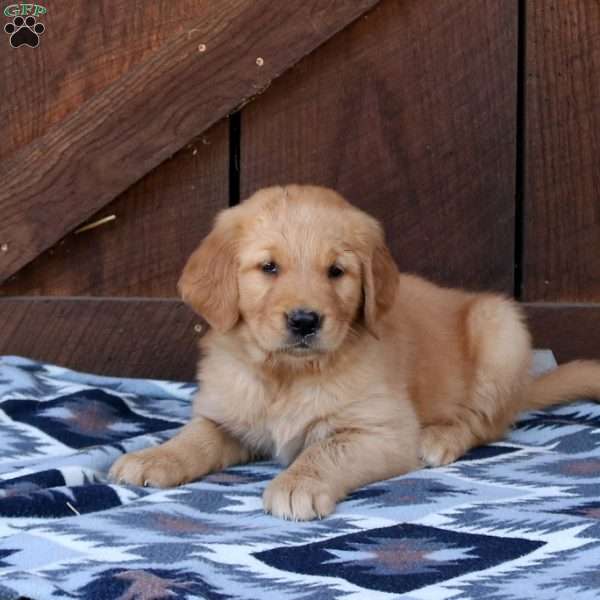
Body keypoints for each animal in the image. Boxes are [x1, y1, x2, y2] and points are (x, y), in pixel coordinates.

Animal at [110, 184, 600, 520]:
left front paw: (297, 483)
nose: (304, 320)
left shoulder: (381, 431)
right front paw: (154, 458)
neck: (288, 375)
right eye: (269, 267)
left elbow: (325, 450)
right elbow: (195, 437)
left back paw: (439, 438)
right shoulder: (226, 415)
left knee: (485, 422)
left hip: (500, 327)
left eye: (336, 271)